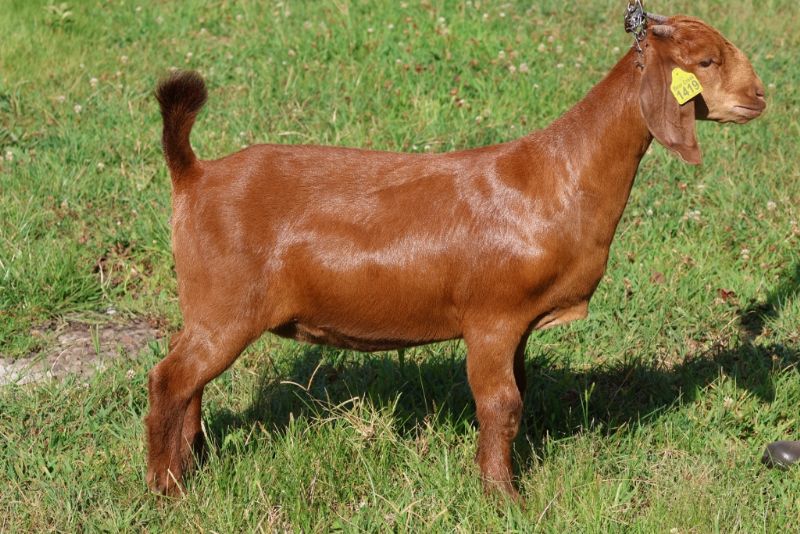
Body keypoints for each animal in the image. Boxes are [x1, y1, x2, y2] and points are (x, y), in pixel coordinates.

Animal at [146, 14, 766, 499]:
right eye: (706, 60)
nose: (760, 97)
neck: (558, 177)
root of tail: (194, 176)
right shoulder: (492, 318)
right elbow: (501, 405)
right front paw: (503, 498)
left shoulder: (518, 326)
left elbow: (518, 396)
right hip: (226, 308)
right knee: (169, 380)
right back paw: (166, 489)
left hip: (207, 311)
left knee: (189, 380)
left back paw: (192, 464)